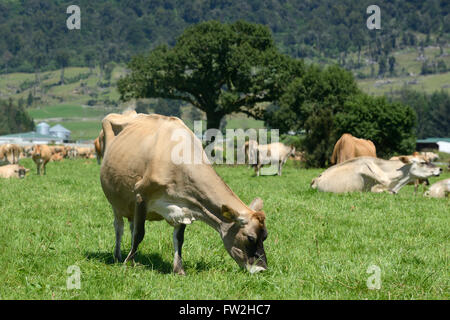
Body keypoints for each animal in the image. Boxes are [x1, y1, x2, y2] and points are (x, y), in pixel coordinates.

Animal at [100, 112, 268, 276]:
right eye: (250, 237)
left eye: (265, 236)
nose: (262, 269)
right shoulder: (141, 195)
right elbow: (139, 233)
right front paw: (128, 263)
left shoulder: (185, 204)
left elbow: (178, 239)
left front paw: (178, 269)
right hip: (115, 200)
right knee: (119, 226)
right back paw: (118, 256)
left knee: (131, 224)